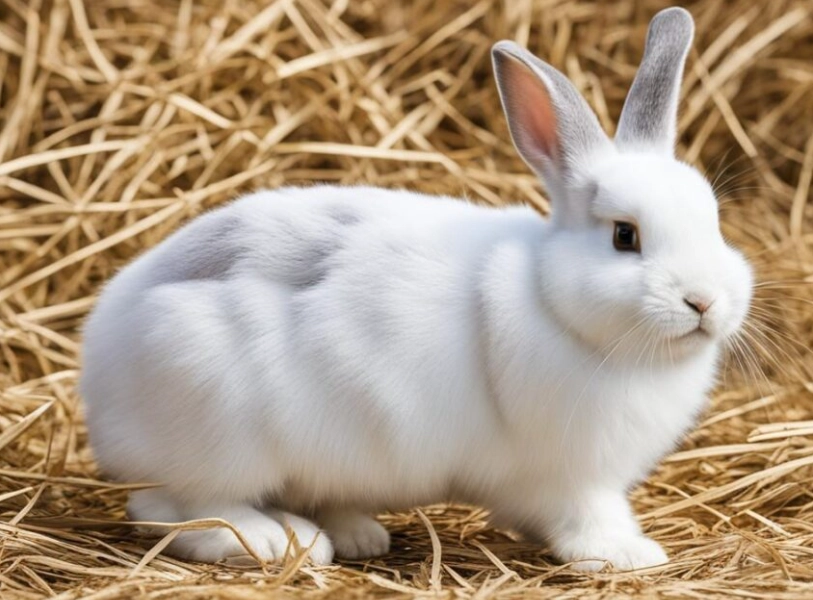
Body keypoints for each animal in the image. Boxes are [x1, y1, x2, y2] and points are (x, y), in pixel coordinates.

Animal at [80, 7, 752, 571]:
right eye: (623, 236)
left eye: (715, 222)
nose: (704, 301)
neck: (553, 303)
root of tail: (100, 365)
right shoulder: (571, 477)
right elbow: (589, 517)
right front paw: (630, 554)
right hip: (219, 434)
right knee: (177, 510)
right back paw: (280, 541)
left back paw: (356, 533)